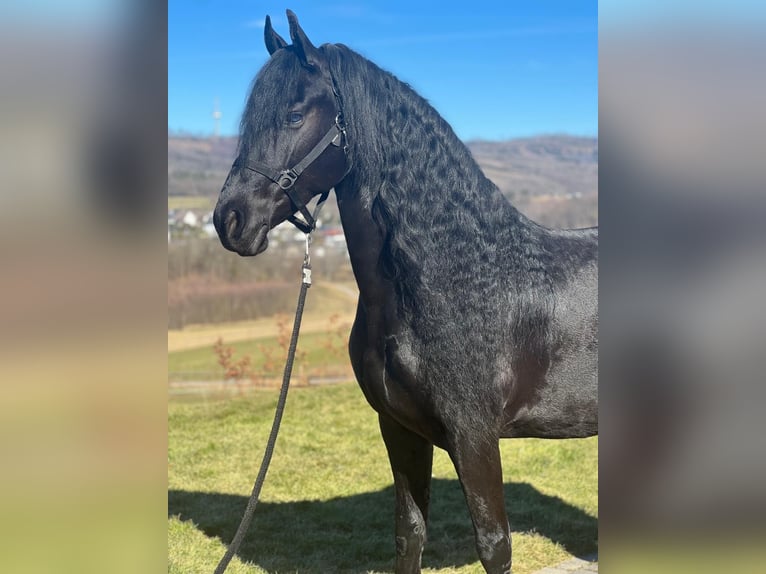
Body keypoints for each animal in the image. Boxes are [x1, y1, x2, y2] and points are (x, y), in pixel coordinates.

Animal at [213, 11, 597, 574]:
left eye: (294, 114)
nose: (230, 220)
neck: (456, 276)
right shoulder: (399, 429)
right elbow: (409, 534)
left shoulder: (473, 436)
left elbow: (494, 544)